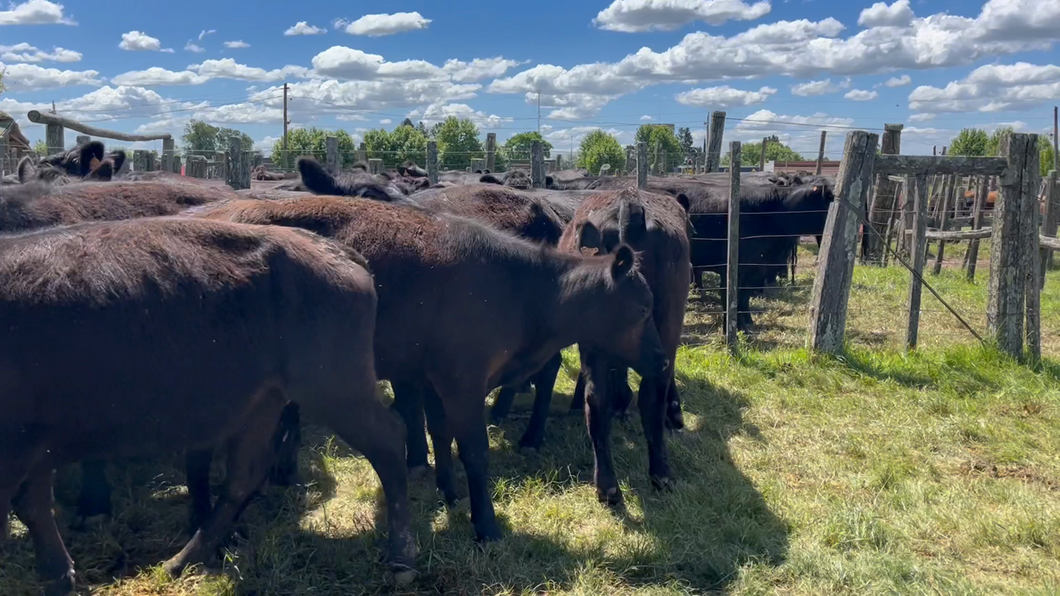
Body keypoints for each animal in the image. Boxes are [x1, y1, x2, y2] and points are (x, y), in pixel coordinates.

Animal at [0, 215, 417, 589]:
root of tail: (336, 251)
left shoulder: (21, 445)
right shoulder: (35, 444)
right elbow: (34, 506)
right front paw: (59, 575)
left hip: (335, 388)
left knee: (389, 440)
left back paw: (402, 556)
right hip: (267, 399)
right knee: (244, 475)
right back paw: (182, 560)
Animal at [199, 196, 665, 542]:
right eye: (644, 308)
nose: (662, 359)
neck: (520, 292)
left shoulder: (435, 379)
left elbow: (440, 433)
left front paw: (449, 491)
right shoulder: (463, 381)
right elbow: (473, 451)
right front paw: (486, 525)